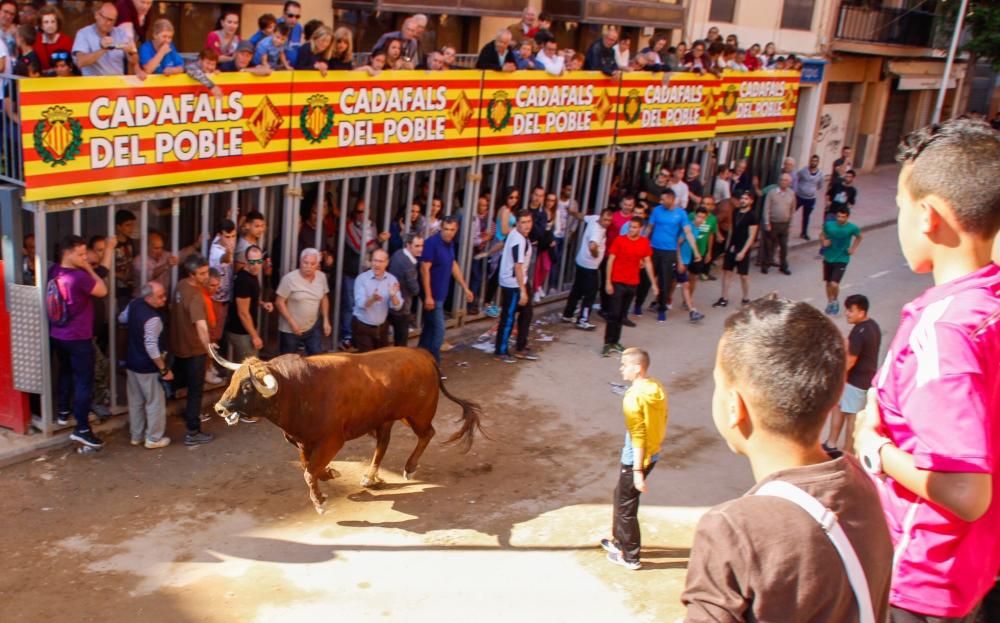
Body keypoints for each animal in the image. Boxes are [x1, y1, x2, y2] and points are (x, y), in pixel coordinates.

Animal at [209, 344, 482, 516]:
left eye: (247, 387)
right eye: (232, 380)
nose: (219, 408)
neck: (296, 389)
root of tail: (423, 354)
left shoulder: (332, 440)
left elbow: (309, 472)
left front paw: (320, 502)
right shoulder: (301, 441)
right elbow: (309, 467)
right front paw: (330, 474)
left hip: (416, 414)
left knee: (427, 434)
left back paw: (409, 468)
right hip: (387, 418)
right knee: (384, 443)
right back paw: (370, 477)